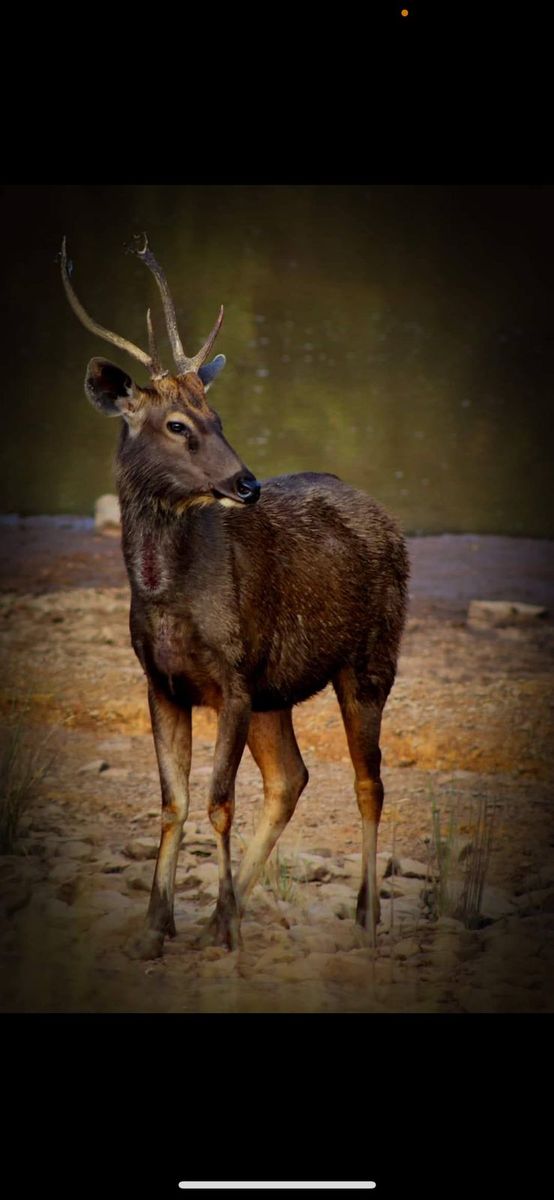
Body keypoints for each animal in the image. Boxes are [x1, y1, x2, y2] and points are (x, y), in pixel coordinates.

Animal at [60, 234, 409, 961]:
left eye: (216, 416)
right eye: (177, 424)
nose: (246, 482)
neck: (168, 595)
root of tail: (390, 520)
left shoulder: (234, 678)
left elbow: (218, 801)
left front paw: (218, 927)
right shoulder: (162, 683)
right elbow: (174, 801)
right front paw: (157, 928)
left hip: (369, 660)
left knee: (368, 781)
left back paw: (365, 915)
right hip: (278, 690)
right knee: (292, 777)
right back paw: (238, 906)